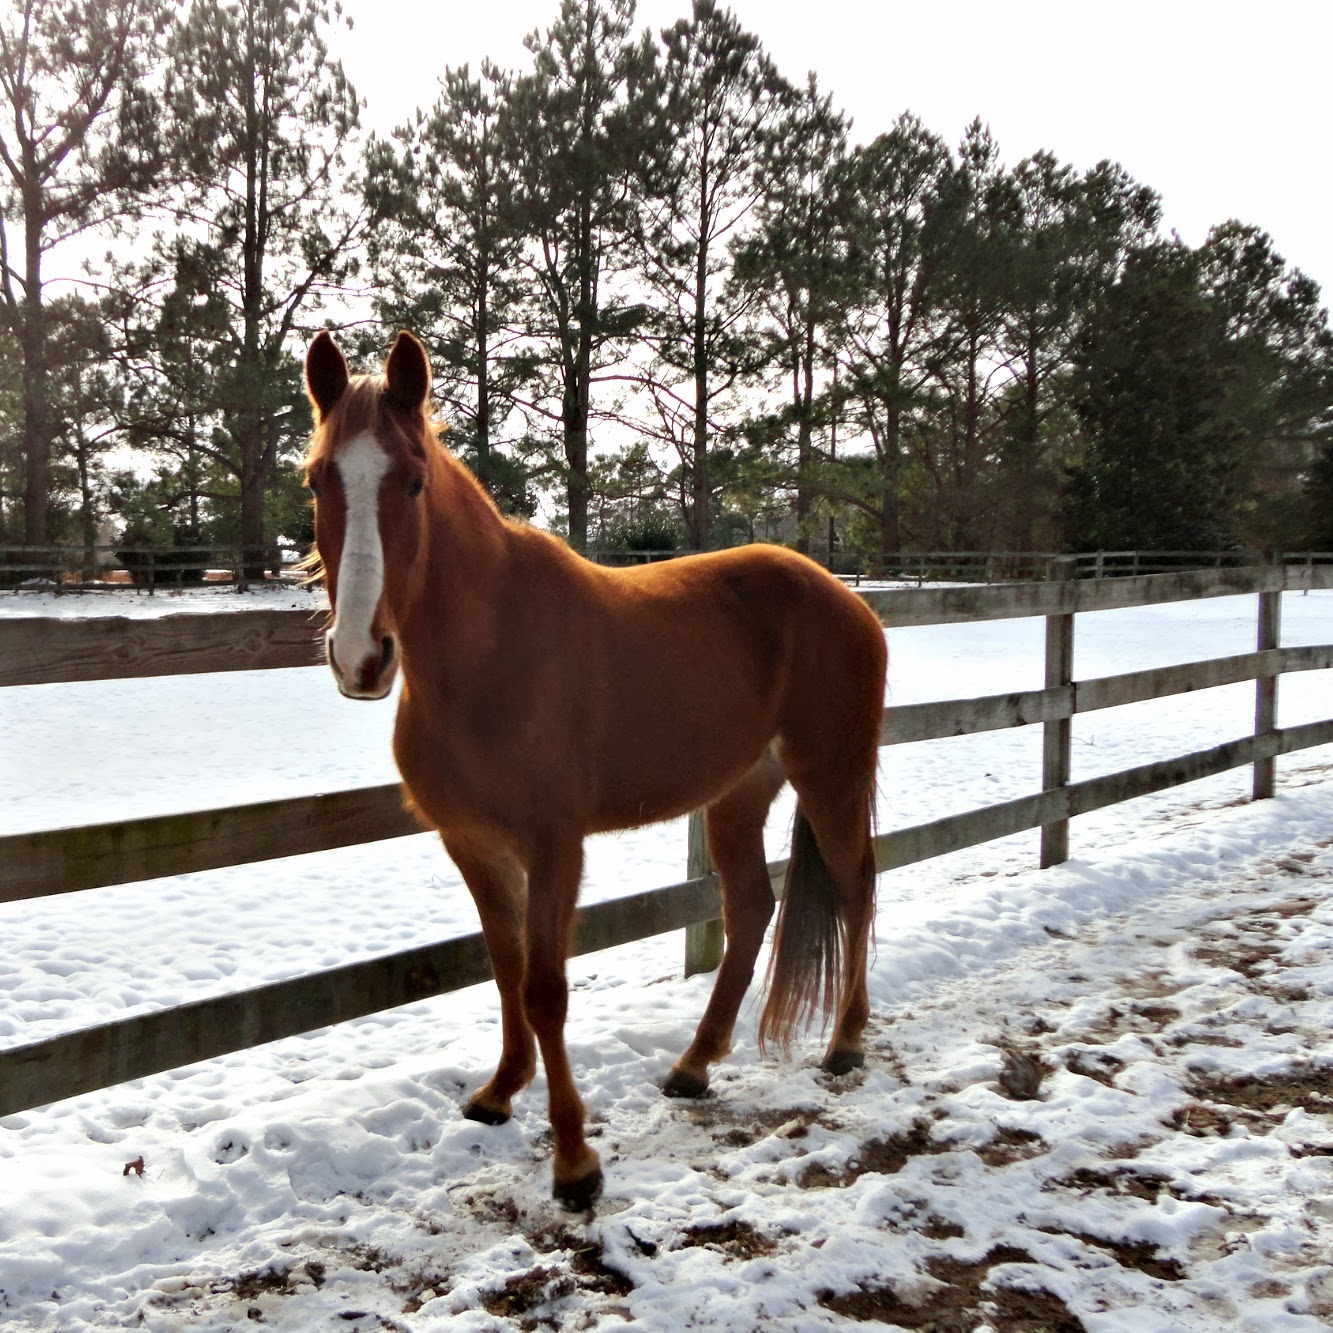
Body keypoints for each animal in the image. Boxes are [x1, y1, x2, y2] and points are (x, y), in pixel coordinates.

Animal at [302, 330, 887, 1210]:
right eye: (317, 479)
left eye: (412, 479)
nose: (360, 656)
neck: (490, 653)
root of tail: (847, 599)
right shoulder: (471, 843)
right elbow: (505, 965)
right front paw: (499, 1092)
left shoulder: (555, 846)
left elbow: (545, 987)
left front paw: (575, 1160)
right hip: (738, 793)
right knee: (751, 906)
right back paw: (693, 1064)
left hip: (832, 775)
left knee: (854, 887)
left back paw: (845, 1043)